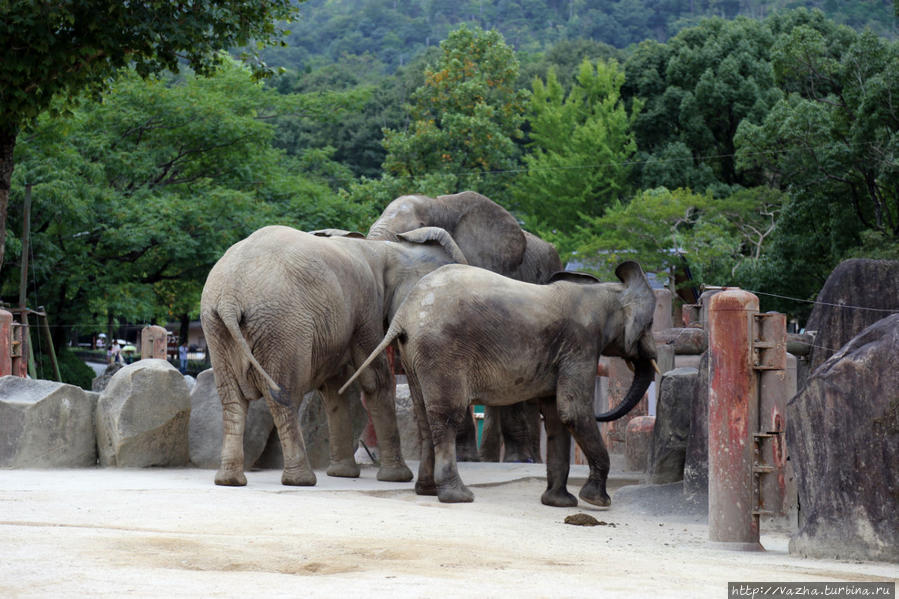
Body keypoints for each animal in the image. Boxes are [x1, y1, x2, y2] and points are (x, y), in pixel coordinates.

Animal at [200, 224, 468, 488]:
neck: (387, 249)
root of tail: (229, 297)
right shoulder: (366, 307)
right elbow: (375, 380)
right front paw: (398, 477)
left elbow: (333, 387)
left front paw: (342, 474)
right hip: (282, 327)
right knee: (284, 394)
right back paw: (301, 480)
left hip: (216, 328)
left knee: (231, 399)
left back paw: (229, 480)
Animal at [342, 262, 656, 506]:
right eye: (650, 324)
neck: (603, 292)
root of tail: (404, 313)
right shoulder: (581, 344)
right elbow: (573, 411)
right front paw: (598, 501)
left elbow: (556, 416)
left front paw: (559, 503)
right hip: (442, 350)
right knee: (447, 416)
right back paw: (457, 497)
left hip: (414, 354)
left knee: (423, 416)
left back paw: (428, 491)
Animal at [368, 192, 564, 464]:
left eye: (417, 228)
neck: (441, 205)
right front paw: (463, 457)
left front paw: (513, 460)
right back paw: (491, 458)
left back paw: (525, 459)